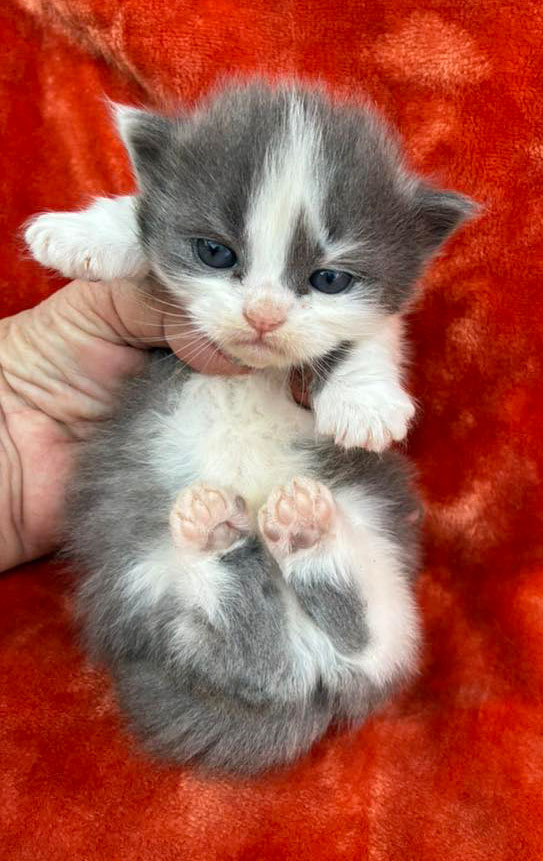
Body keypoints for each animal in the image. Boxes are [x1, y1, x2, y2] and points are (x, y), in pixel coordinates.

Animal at [25, 81, 474, 774]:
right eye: (216, 252)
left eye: (329, 279)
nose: (263, 315)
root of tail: (316, 686)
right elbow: (144, 221)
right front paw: (86, 233)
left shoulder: (373, 312)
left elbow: (374, 333)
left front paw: (364, 400)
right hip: (142, 571)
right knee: (256, 663)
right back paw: (225, 537)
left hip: (375, 535)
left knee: (366, 643)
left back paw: (303, 532)